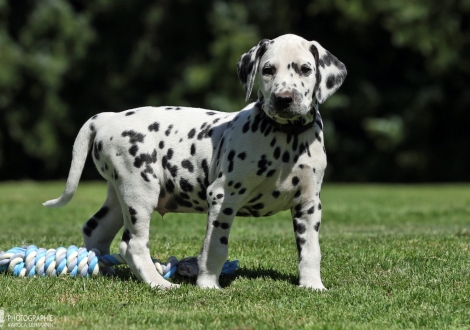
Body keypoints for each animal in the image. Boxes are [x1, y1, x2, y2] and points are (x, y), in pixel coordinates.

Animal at [43, 34, 346, 290]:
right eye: (268, 70)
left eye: (306, 69)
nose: (284, 99)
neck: (286, 137)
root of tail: (108, 117)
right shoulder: (223, 197)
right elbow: (215, 248)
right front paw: (208, 286)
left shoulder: (309, 203)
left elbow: (310, 250)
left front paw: (312, 286)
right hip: (139, 191)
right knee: (132, 245)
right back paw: (159, 284)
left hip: (119, 196)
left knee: (95, 229)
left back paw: (102, 269)